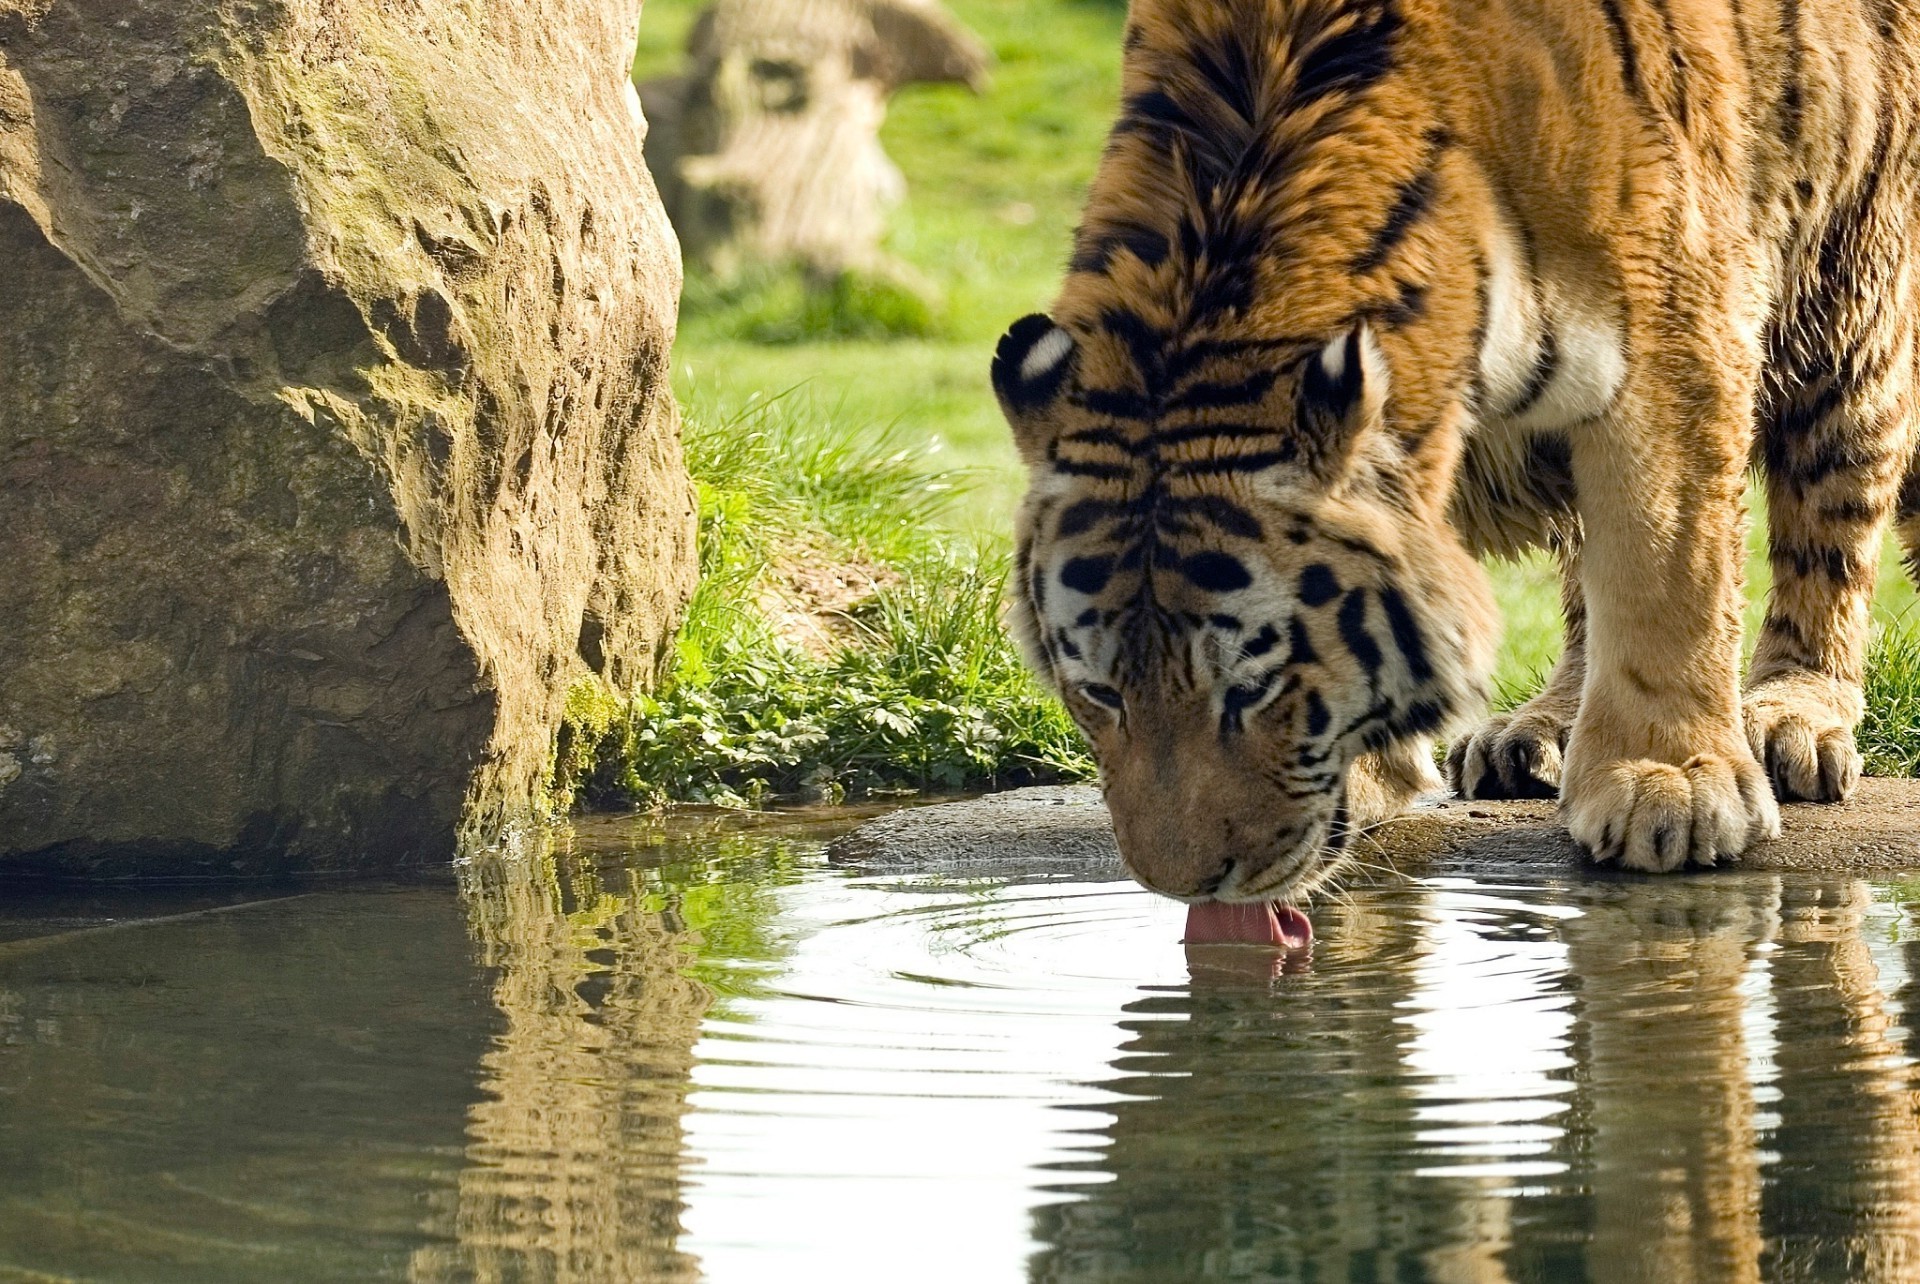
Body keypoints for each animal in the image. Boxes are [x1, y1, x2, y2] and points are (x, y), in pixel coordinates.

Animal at [998, 0, 1920, 905]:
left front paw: (1670, 782)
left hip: (1850, 307)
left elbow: (1665, 572)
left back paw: (1793, 714)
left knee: (1828, 538)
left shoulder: (1676, 328)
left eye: (1253, 688)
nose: (1187, 889)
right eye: (1099, 692)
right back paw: (1536, 730)